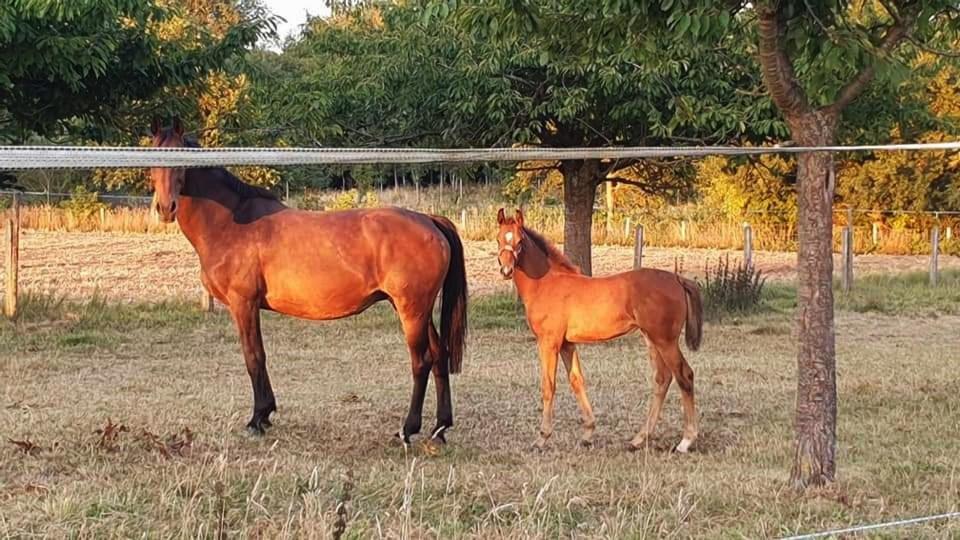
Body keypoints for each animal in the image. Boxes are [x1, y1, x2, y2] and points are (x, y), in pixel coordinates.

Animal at [145, 118, 468, 442]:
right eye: (152, 158)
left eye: (180, 161)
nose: (165, 208)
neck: (231, 222)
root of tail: (429, 220)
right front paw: (265, 414)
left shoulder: (243, 304)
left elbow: (254, 356)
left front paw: (258, 417)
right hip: (419, 311)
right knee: (439, 356)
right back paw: (440, 427)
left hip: (411, 310)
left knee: (421, 362)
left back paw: (408, 428)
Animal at [498, 209, 700, 454]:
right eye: (499, 238)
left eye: (519, 241)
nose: (506, 270)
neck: (546, 283)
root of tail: (678, 279)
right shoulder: (567, 344)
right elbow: (577, 380)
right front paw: (588, 433)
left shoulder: (549, 342)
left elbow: (548, 385)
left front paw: (542, 438)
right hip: (652, 339)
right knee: (663, 379)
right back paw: (639, 439)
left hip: (665, 341)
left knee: (684, 376)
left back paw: (686, 441)